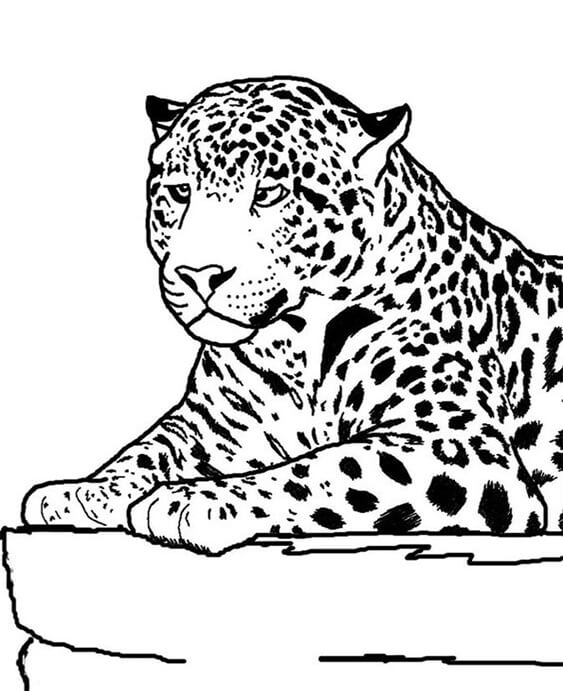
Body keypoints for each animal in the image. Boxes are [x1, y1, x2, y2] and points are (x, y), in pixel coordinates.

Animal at [22, 75, 563, 555]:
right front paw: (83, 491)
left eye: (269, 194)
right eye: (179, 192)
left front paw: (194, 501)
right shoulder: (212, 426)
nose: (199, 274)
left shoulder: (459, 443)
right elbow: (150, 448)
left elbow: (326, 468)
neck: (292, 344)